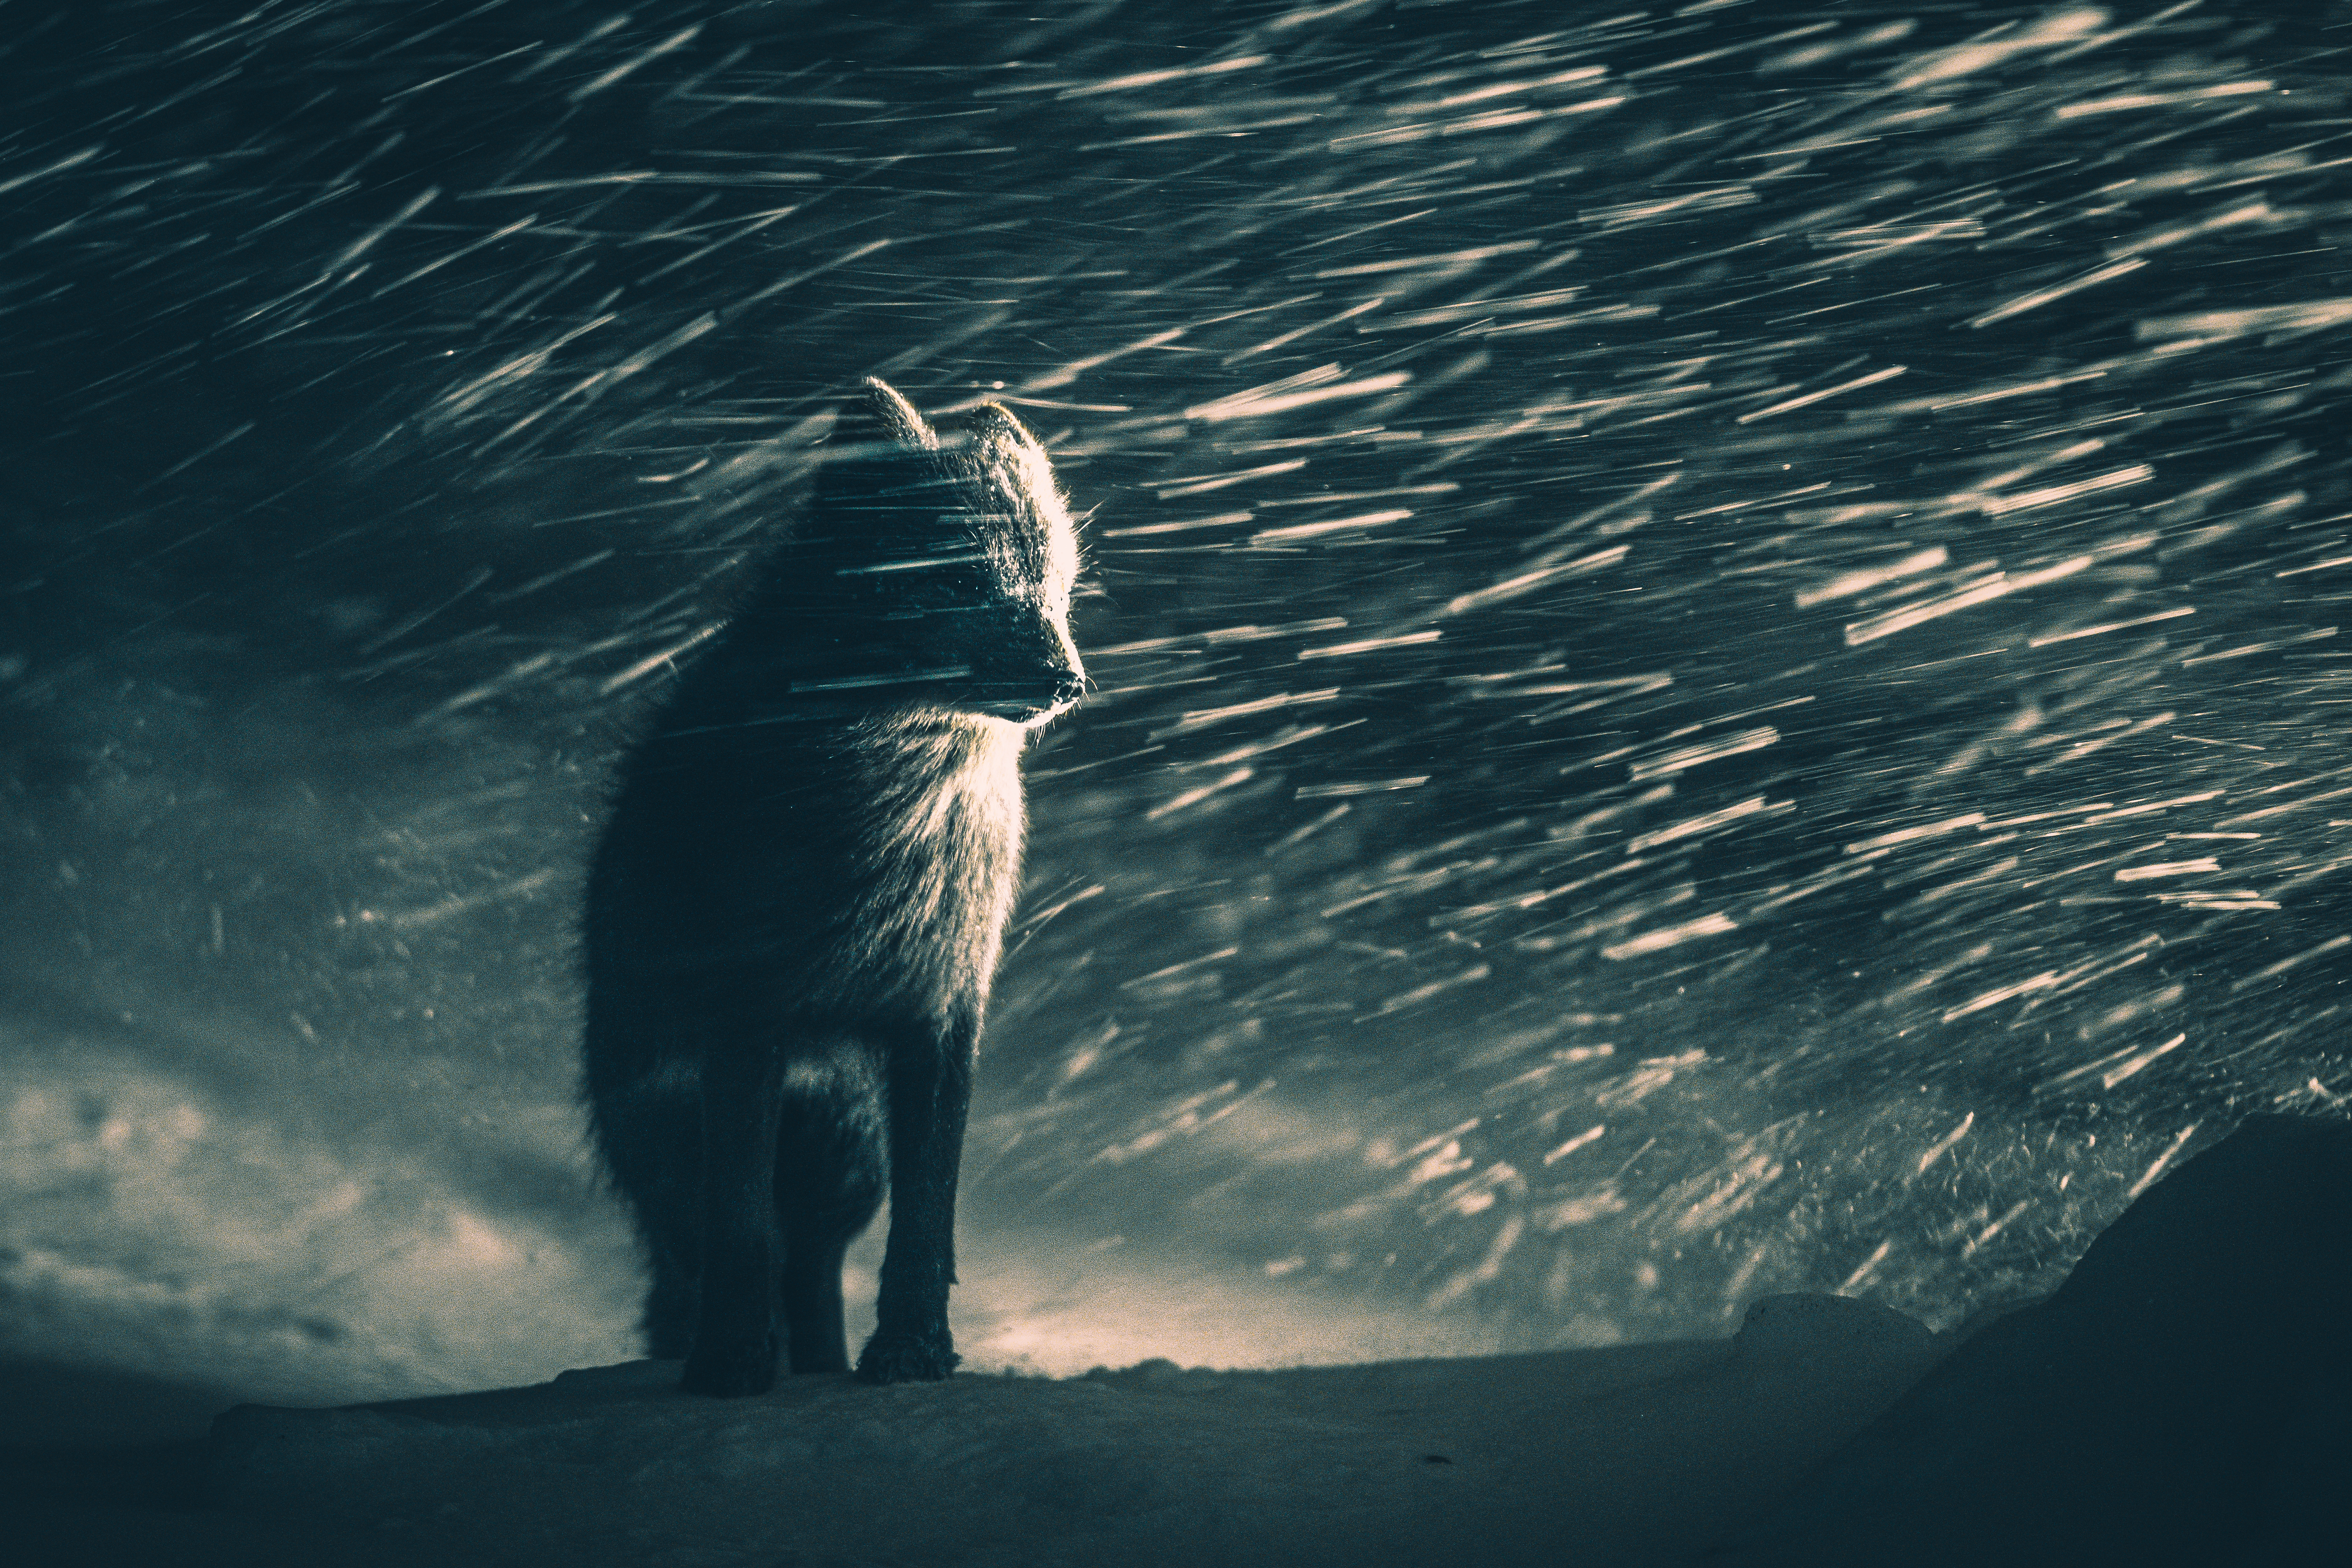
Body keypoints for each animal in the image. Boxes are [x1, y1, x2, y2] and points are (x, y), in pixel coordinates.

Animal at [581, 378, 1085, 1394]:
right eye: (959, 582)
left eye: (1056, 587)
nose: (1068, 681)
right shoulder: (749, 1014)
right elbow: (741, 1230)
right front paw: (733, 1365)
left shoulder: (942, 1014)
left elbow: (926, 1224)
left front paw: (912, 1353)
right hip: (674, 1146)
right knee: (715, 1253)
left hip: (846, 1164)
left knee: (812, 1271)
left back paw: (821, 1362)